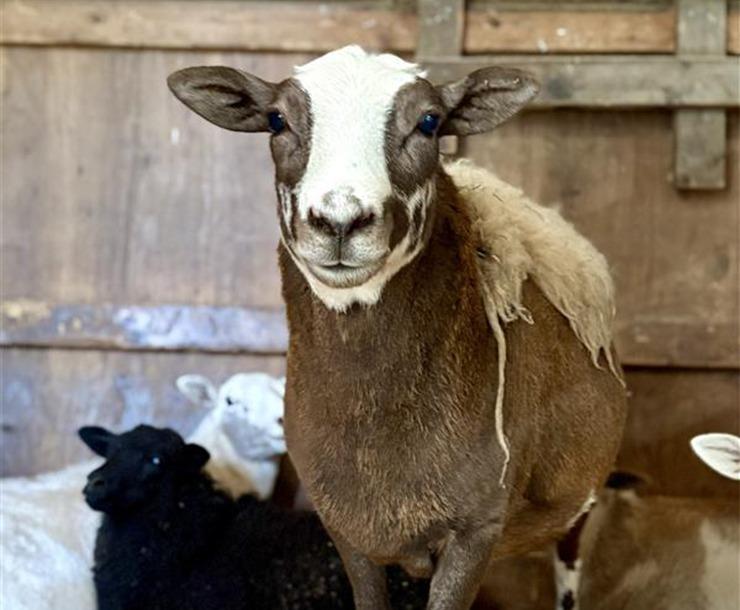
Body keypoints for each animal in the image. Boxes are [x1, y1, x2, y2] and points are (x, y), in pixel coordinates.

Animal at [168, 45, 627, 609]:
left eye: (429, 122)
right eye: (276, 120)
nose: (339, 221)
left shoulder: (477, 529)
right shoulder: (349, 530)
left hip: (575, 505)